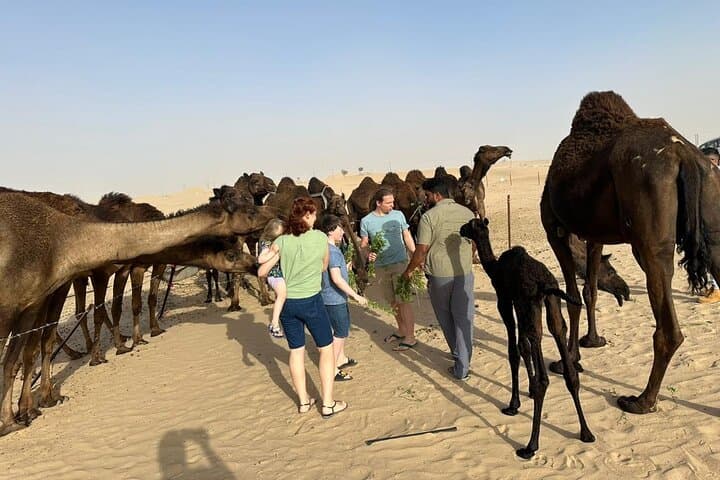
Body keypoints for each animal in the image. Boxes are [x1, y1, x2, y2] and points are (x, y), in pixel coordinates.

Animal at [0, 186, 271, 435]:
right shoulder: (103, 273)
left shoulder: (36, 299)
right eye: (231, 254)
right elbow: (117, 307)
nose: (271, 213)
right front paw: (116, 349)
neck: (62, 241)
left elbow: (19, 356)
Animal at [460, 218, 594, 459]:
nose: (460, 230)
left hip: (530, 304)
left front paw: (514, 404)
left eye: (469, 224)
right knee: (562, 345)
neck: (494, 267)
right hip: (549, 304)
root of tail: (545, 285)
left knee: (543, 372)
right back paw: (586, 432)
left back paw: (530, 445)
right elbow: (524, 347)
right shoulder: (519, 303)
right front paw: (528, 390)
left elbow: (514, 351)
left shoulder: (505, 300)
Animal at [540, 90, 717, 414]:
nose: (623, 291)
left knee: (668, 330)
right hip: (712, 205)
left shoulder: (554, 229)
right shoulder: (593, 236)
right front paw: (593, 341)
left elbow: (572, 297)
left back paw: (641, 401)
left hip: (648, 237)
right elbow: (590, 291)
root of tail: (684, 153)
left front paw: (567, 361)